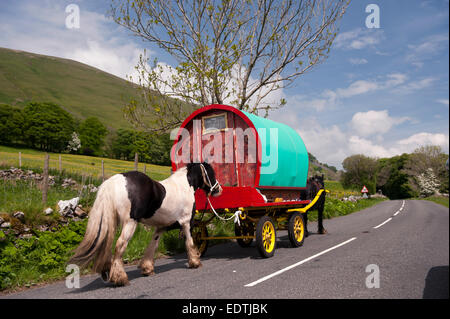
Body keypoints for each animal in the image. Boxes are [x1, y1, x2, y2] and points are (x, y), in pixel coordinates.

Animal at [70, 164, 221, 286]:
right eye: (211, 173)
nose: (218, 189)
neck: (184, 186)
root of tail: (115, 181)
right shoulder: (187, 223)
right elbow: (190, 242)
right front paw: (195, 262)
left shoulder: (160, 228)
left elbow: (152, 246)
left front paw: (147, 269)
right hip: (130, 223)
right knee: (119, 245)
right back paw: (120, 278)